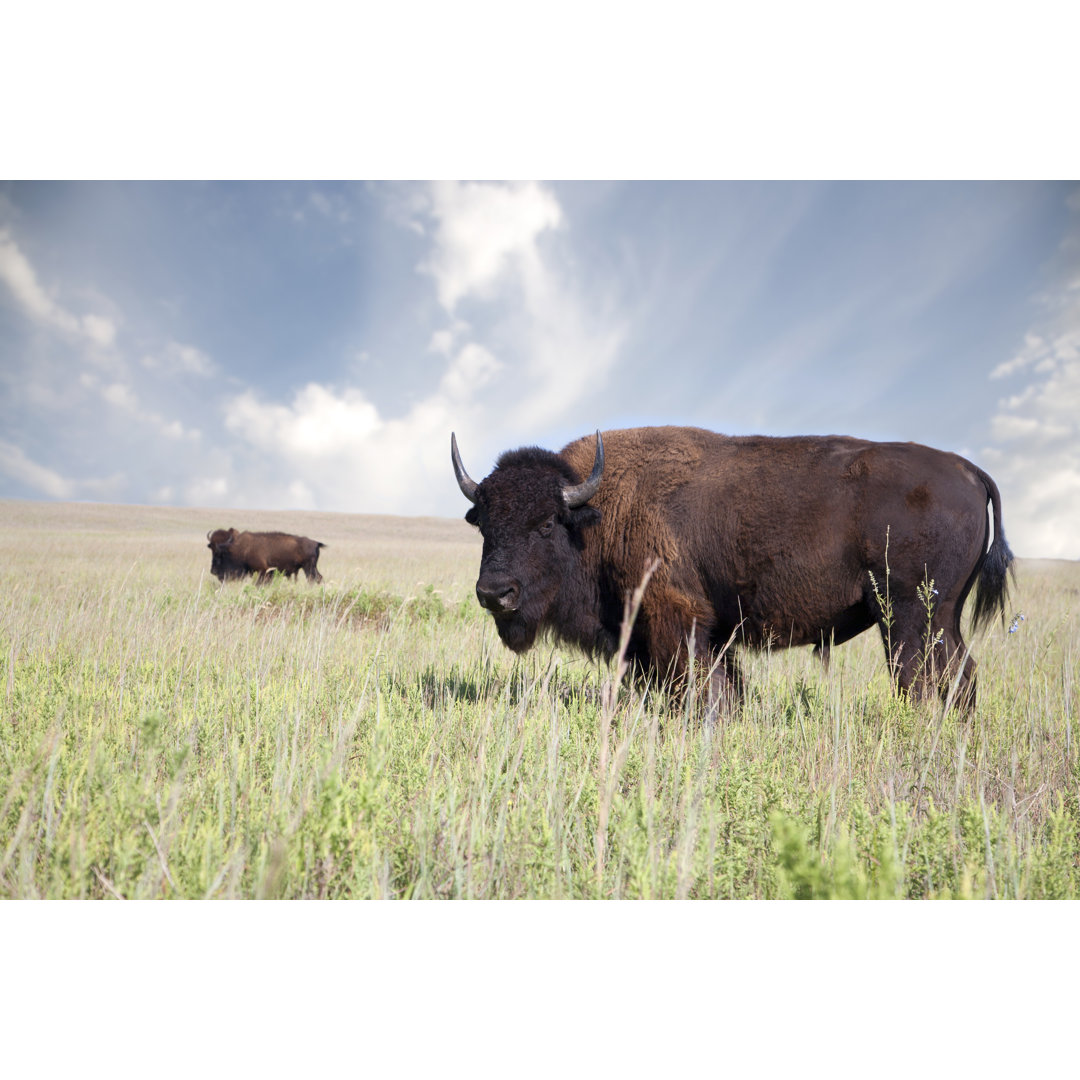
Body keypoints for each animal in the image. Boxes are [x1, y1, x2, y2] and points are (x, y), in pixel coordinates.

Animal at [449, 421, 1010, 708]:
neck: (596, 512)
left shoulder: (675, 618)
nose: (494, 592)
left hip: (912, 617)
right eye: (483, 524)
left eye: (546, 523)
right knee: (961, 675)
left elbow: (697, 684)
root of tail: (969, 469)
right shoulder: (704, 633)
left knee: (922, 679)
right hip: (943, 619)